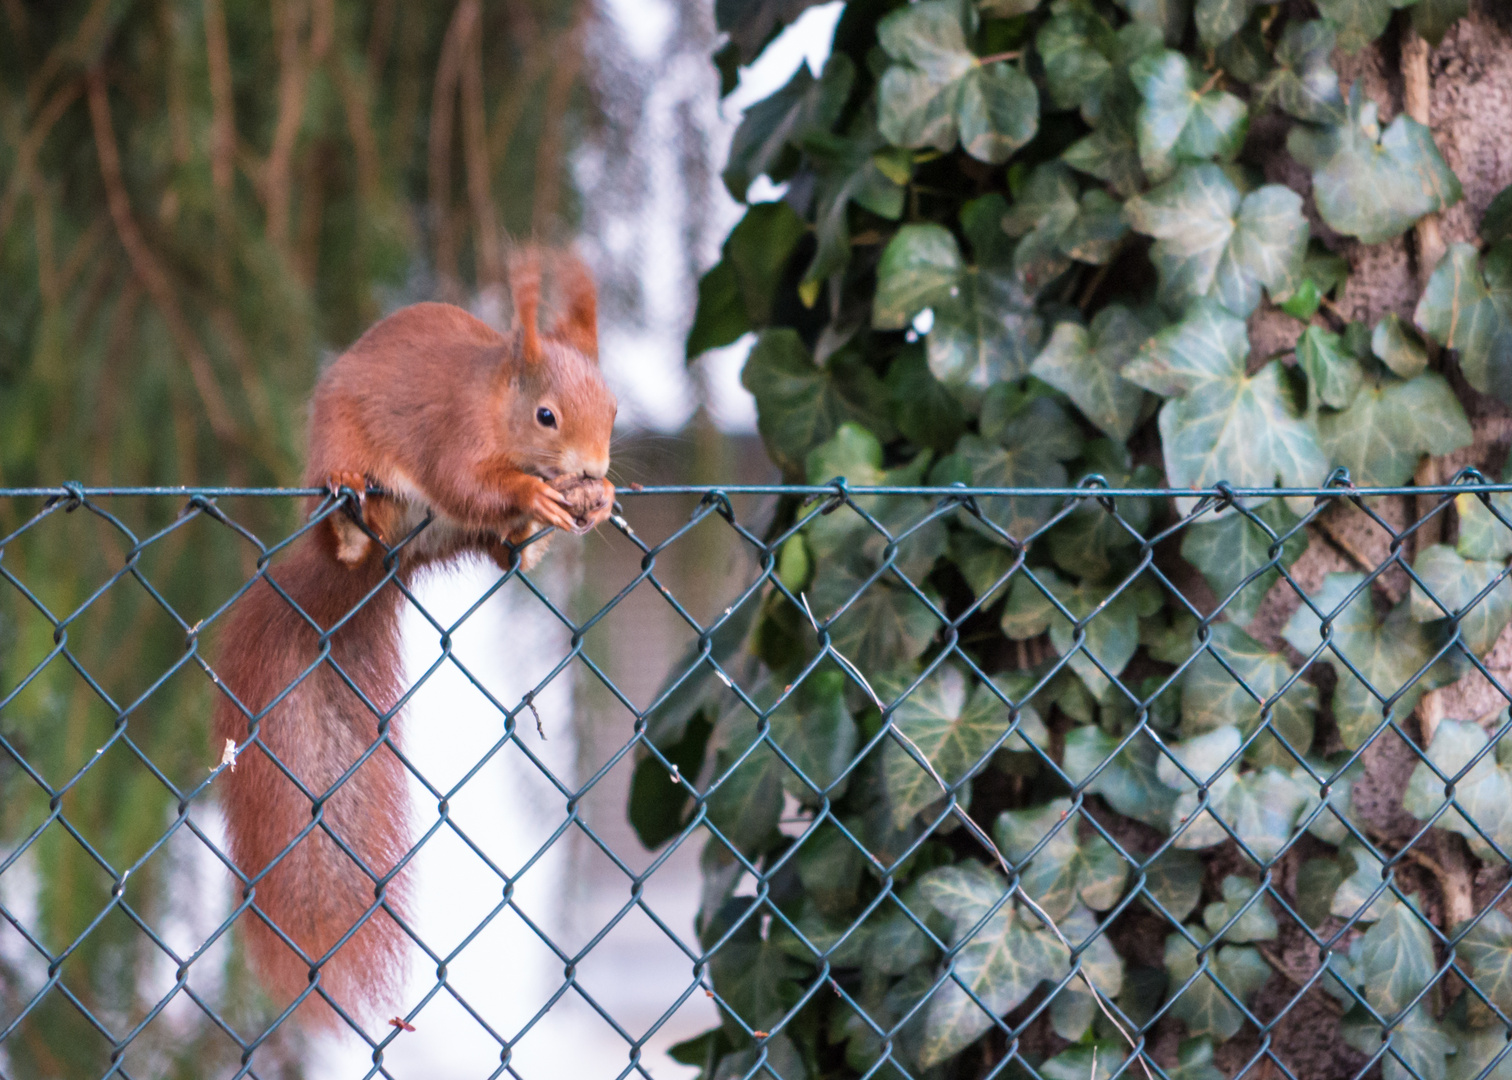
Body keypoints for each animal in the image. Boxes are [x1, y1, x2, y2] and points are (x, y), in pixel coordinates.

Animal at [210, 249, 616, 1016]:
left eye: (613, 410)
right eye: (546, 415)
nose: (594, 470)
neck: (493, 401)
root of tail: (389, 554)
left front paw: (594, 501)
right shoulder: (452, 436)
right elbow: (468, 482)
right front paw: (532, 492)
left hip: (456, 539)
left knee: (498, 551)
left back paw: (528, 542)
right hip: (344, 451)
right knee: (351, 522)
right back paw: (349, 515)